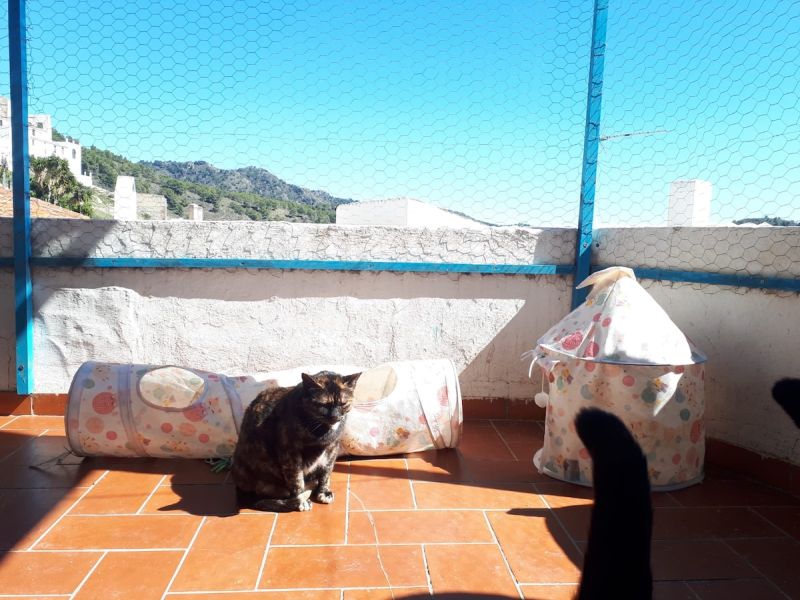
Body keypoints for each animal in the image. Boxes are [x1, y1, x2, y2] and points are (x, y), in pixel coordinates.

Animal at [232, 370, 360, 512]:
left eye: (343, 404)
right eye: (323, 405)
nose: (335, 416)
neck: (322, 433)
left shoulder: (332, 448)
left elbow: (326, 472)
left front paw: (324, 492)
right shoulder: (290, 453)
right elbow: (296, 480)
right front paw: (300, 501)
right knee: (264, 498)